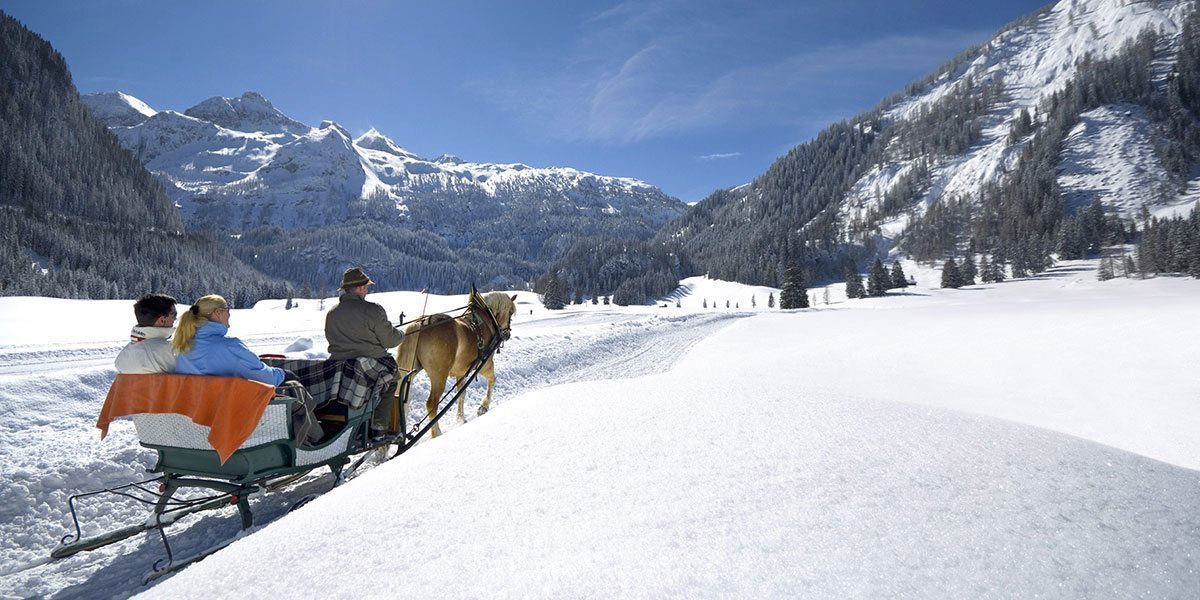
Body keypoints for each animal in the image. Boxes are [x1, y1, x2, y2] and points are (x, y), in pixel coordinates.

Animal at [398, 289, 516, 436]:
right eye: (511, 312)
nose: (507, 334)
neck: (485, 320)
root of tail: (420, 323)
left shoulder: (461, 371)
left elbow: (462, 393)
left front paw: (461, 418)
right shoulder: (485, 364)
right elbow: (492, 380)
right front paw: (483, 407)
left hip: (411, 371)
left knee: (403, 401)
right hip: (439, 376)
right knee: (431, 404)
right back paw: (436, 433)